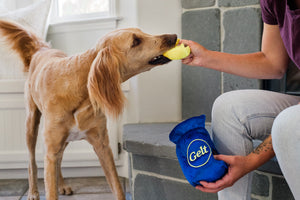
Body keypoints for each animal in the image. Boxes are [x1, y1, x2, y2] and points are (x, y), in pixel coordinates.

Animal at [0, 19, 176, 200]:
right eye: (135, 41)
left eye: (142, 32)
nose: (174, 37)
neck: (81, 89)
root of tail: (42, 49)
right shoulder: (51, 147)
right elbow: (50, 186)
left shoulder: (102, 145)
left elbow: (117, 187)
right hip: (31, 125)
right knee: (32, 162)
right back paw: (33, 192)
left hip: (62, 141)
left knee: (58, 161)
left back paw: (62, 185)